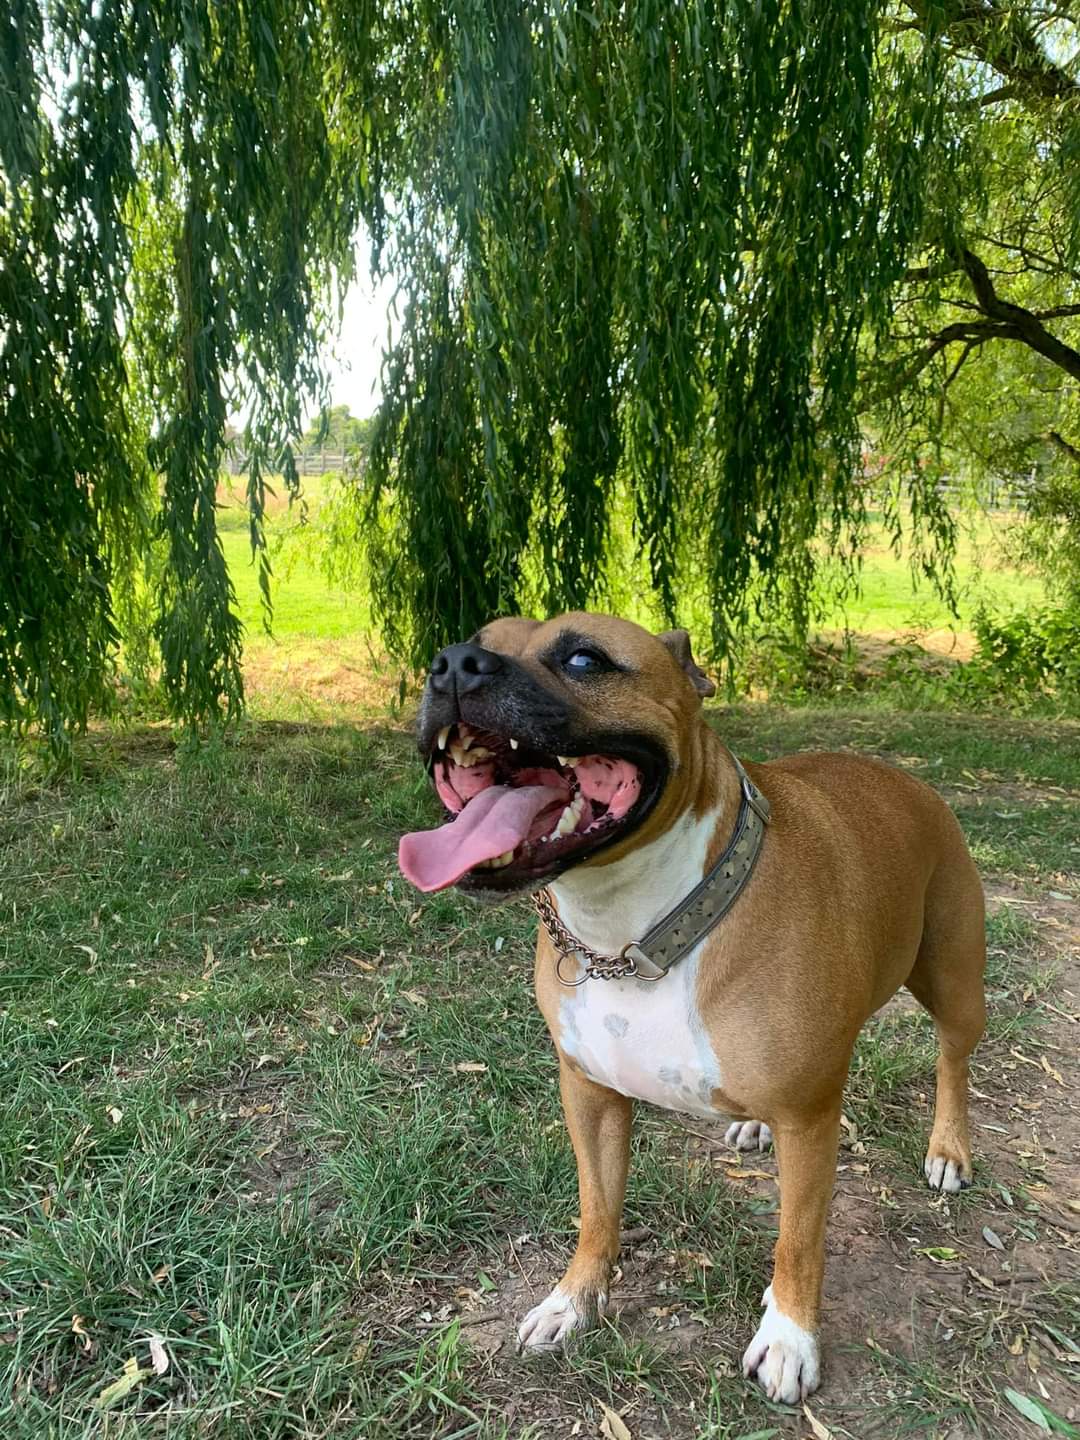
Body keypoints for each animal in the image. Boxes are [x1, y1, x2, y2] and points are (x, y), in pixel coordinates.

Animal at [398, 612, 986, 1402]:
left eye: (584, 659)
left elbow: (798, 1239)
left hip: (954, 981)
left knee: (953, 1061)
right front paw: (572, 1302)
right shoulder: (590, 1094)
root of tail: (907, 777)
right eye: (474, 639)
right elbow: (597, 1212)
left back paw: (949, 1149)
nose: (454, 665)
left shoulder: (808, 1117)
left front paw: (789, 1337)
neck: (633, 932)